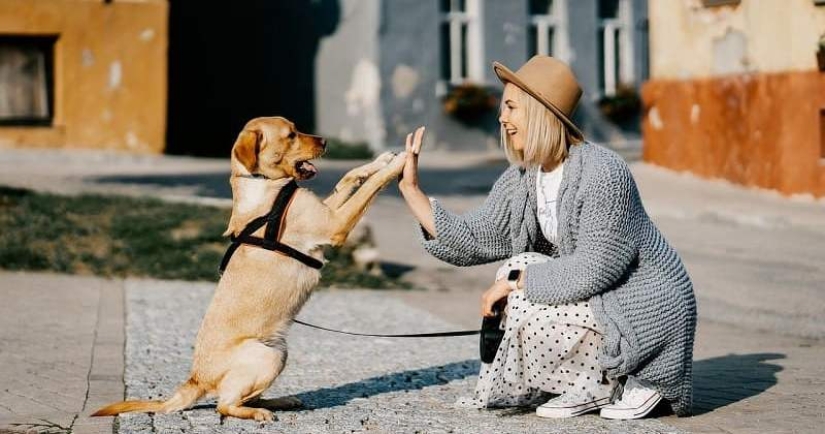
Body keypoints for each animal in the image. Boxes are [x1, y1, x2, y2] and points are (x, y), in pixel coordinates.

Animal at [91, 117, 408, 422]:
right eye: (291, 135)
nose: (326, 141)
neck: (264, 184)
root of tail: (195, 379)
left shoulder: (327, 211)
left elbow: (349, 177)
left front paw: (381, 159)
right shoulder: (334, 224)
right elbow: (370, 187)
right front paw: (399, 163)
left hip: (279, 351)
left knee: (243, 398)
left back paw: (280, 401)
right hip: (266, 355)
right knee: (224, 405)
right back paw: (258, 413)